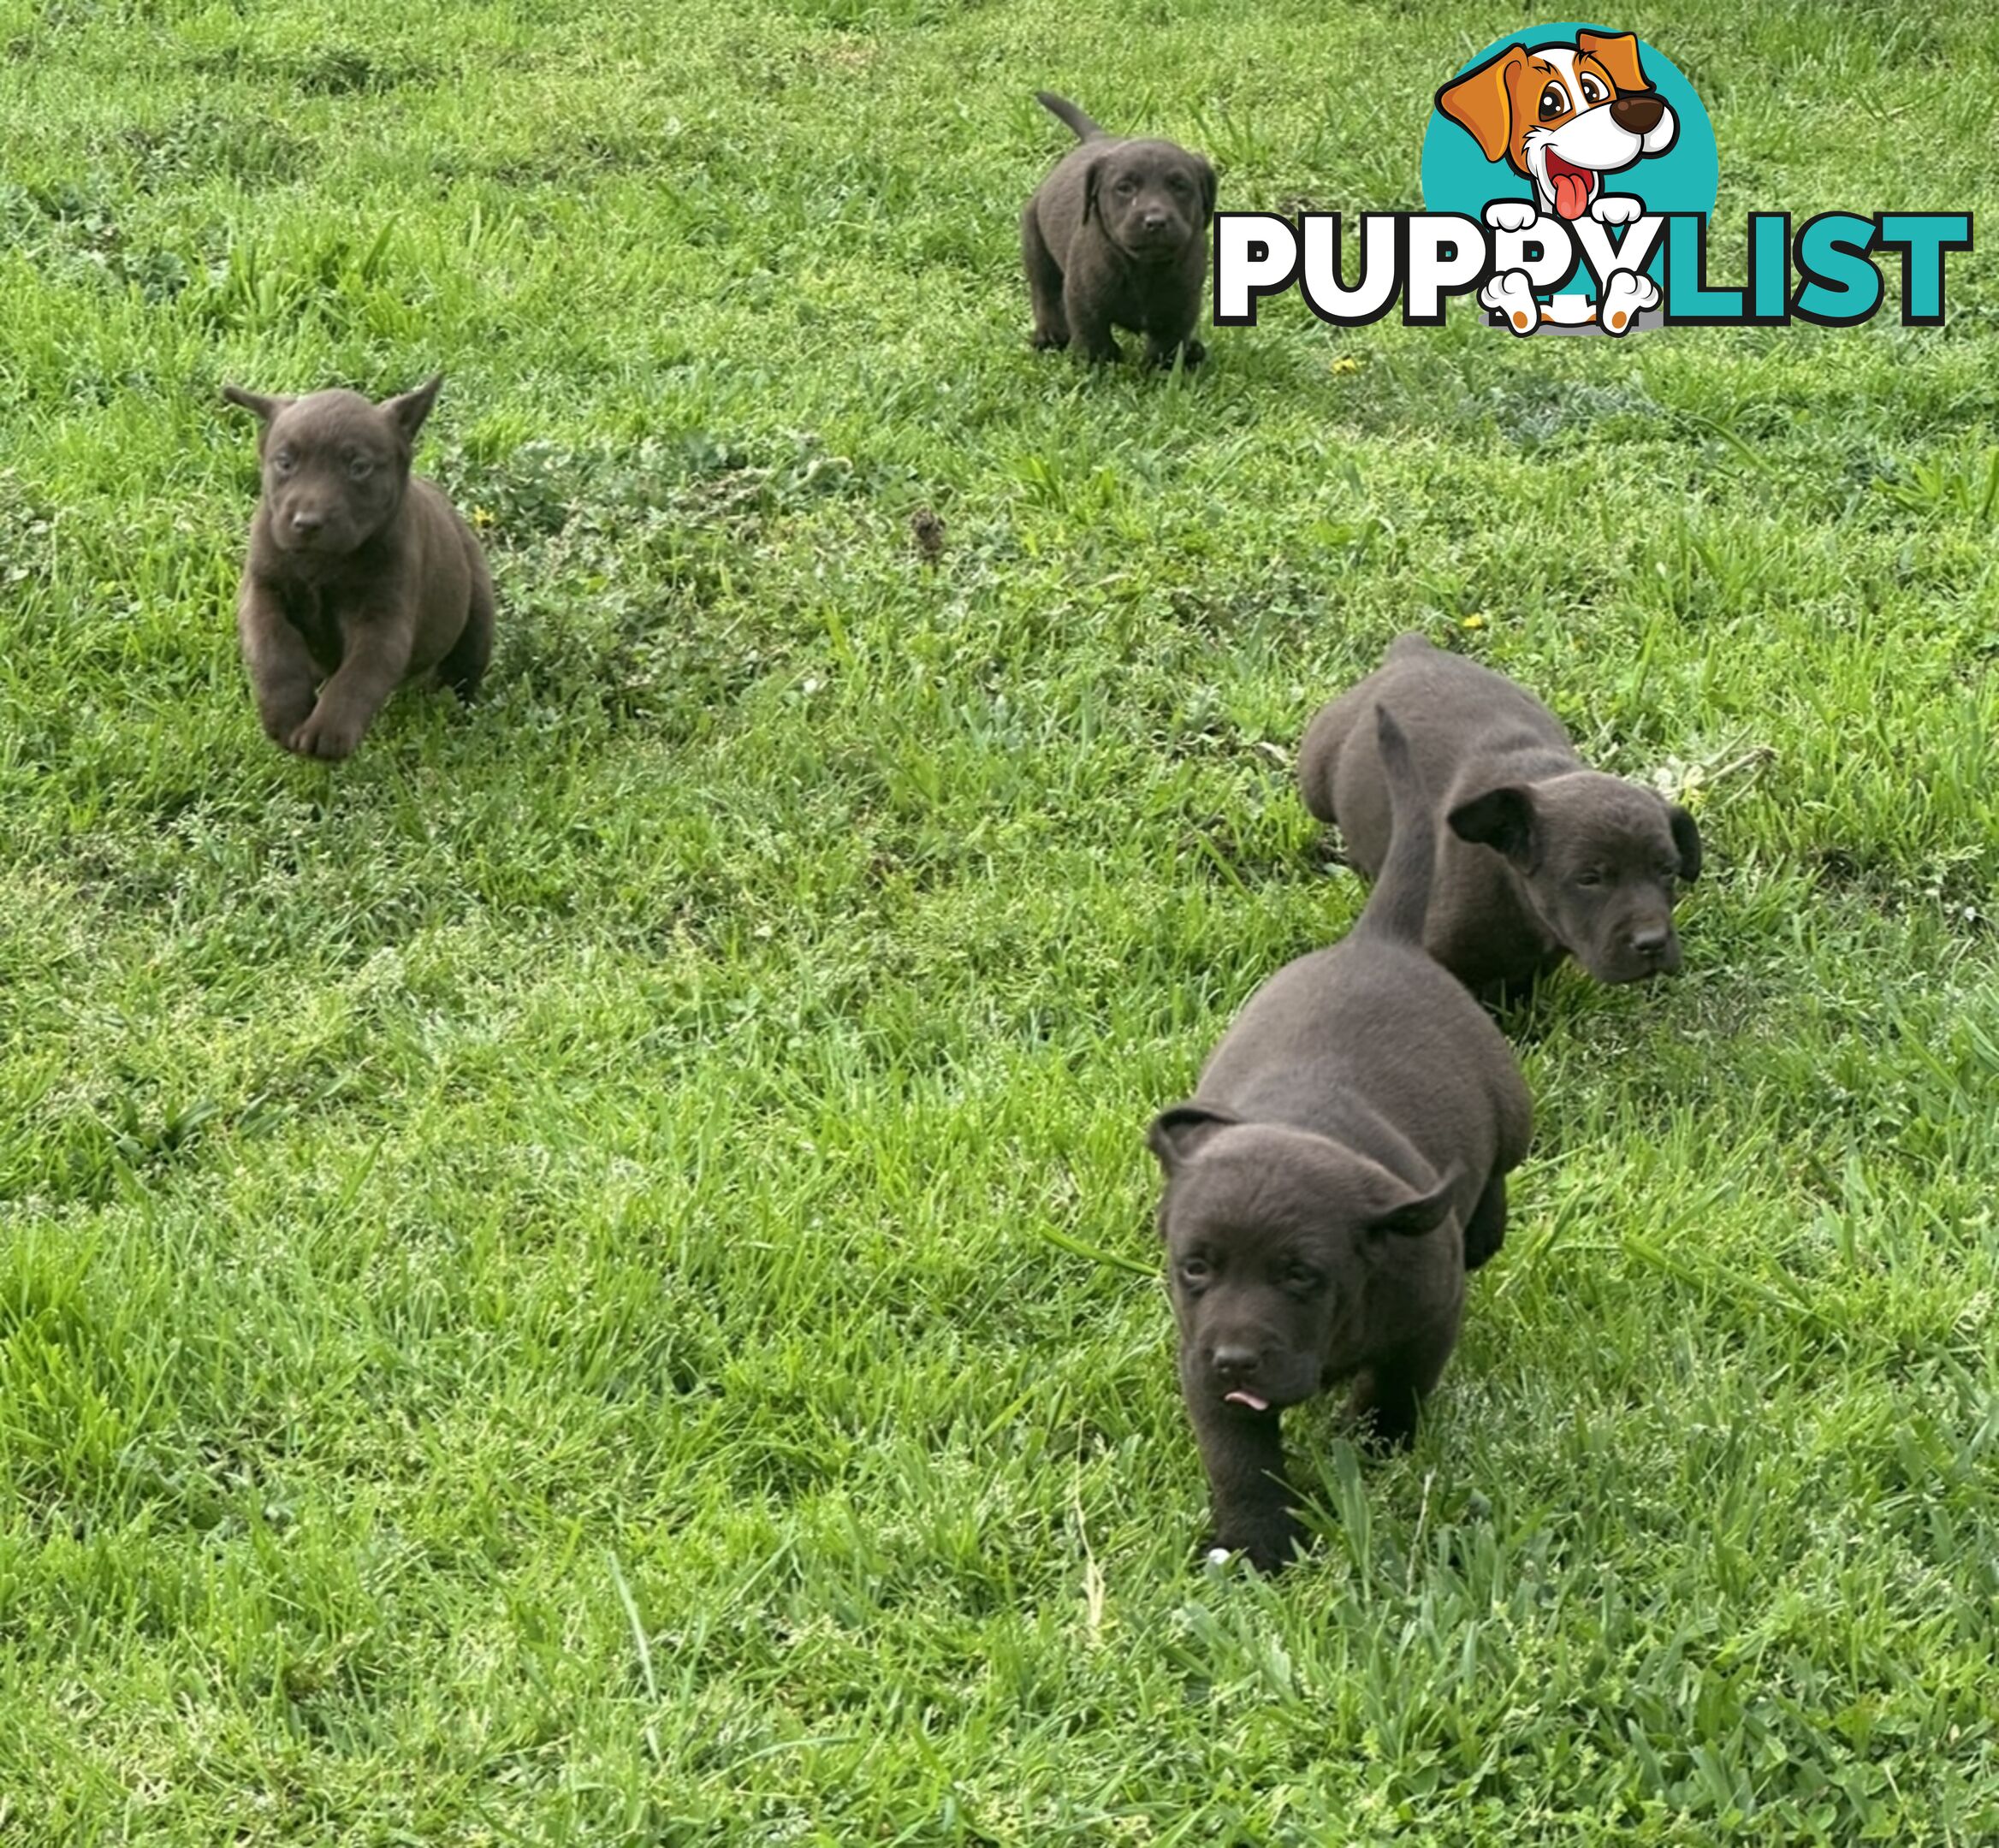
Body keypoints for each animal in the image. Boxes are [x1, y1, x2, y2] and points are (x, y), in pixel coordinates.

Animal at [221, 376, 493, 755]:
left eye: (359, 467)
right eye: (285, 463)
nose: (307, 523)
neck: (322, 562)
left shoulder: (383, 616)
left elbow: (360, 672)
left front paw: (328, 731)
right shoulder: (263, 590)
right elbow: (273, 650)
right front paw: (286, 714)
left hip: (478, 609)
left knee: (465, 666)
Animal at [1023, 90, 1207, 367]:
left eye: (1180, 186)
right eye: (1125, 188)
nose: (1155, 221)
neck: (1144, 269)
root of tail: (1097, 138)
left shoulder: (1184, 303)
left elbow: (1167, 343)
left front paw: (1160, 368)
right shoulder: (1083, 298)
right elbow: (1093, 335)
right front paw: (1100, 363)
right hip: (1035, 242)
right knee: (1045, 292)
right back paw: (1050, 334)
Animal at [1143, 707, 1527, 1574]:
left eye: (1301, 1276)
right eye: (1195, 1268)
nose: (1237, 1360)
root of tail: (1377, 940)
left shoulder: (1429, 1312)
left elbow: (1397, 1388)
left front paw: (1375, 1442)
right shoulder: (1199, 1360)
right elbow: (1238, 1455)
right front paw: (1255, 1542)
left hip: (1511, 1107)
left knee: (1499, 1170)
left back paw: (1487, 1227)